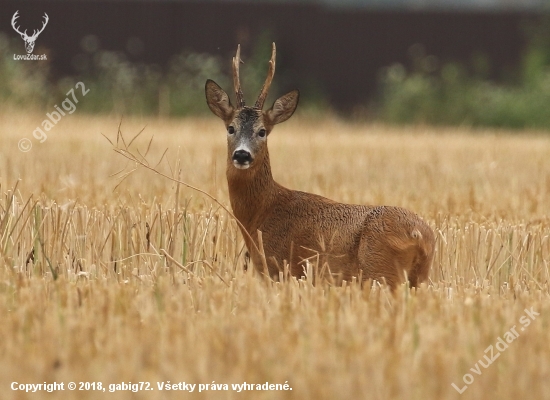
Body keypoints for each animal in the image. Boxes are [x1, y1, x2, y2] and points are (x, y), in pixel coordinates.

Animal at [205, 43, 438, 288]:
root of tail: (419, 234)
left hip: (380, 272)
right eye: (230, 128)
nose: (242, 155)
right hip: (418, 277)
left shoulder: (279, 268)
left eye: (262, 131)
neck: (262, 212)